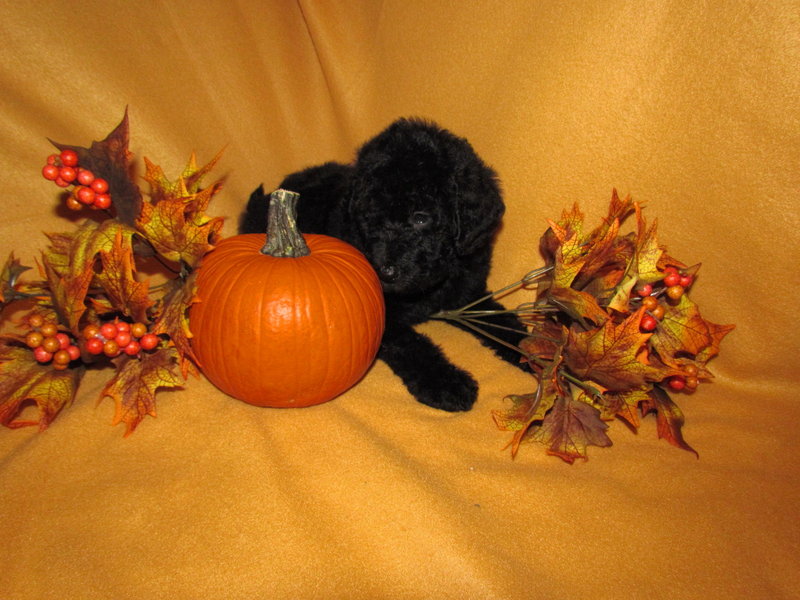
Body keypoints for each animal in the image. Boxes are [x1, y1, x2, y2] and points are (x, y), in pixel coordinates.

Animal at [240, 118, 525, 411]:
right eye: (369, 217)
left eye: (421, 218)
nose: (384, 272)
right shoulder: (379, 313)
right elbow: (411, 344)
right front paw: (446, 382)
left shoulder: (468, 293)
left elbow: (499, 319)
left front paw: (532, 350)